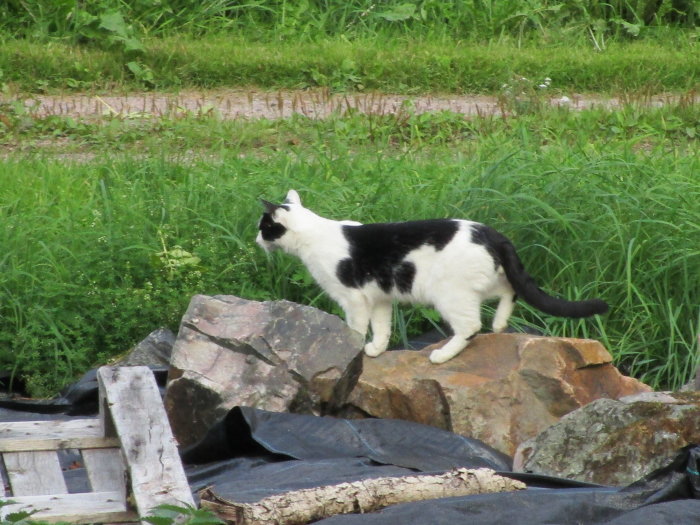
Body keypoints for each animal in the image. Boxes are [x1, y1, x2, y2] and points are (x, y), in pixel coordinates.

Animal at [256, 189, 608, 364]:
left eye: (263, 226)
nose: (256, 240)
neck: (313, 236)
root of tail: (492, 233)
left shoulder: (353, 299)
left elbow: (355, 328)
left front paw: (352, 350)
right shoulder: (380, 297)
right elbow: (381, 328)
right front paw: (376, 351)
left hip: (450, 294)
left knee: (471, 327)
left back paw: (442, 354)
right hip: (483, 281)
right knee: (511, 290)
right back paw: (500, 324)